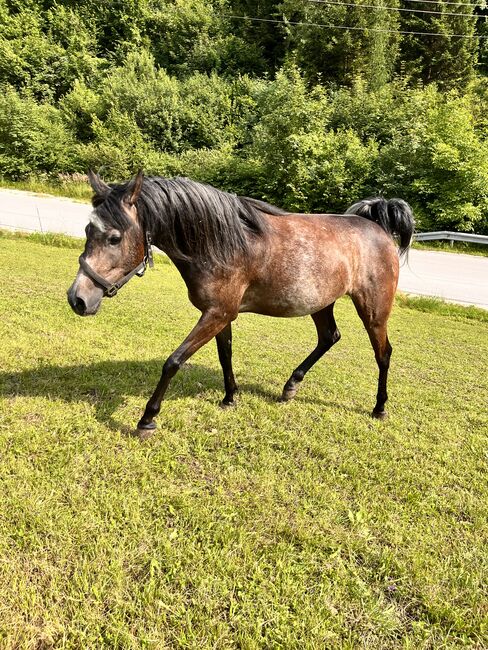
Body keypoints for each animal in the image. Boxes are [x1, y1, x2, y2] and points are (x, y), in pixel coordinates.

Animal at [66, 170, 414, 438]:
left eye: (114, 238)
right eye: (87, 229)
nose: (78, 299)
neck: (222, 244)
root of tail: (379, 228)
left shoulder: (217, 314)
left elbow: (173, 361)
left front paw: (147, 418)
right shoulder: (220, 314)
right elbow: (225, 355)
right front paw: (230, 397)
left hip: (373, 309)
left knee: (383, 353)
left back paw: (379, 407)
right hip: (321, 303)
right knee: (330, 337)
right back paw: (291, 386)